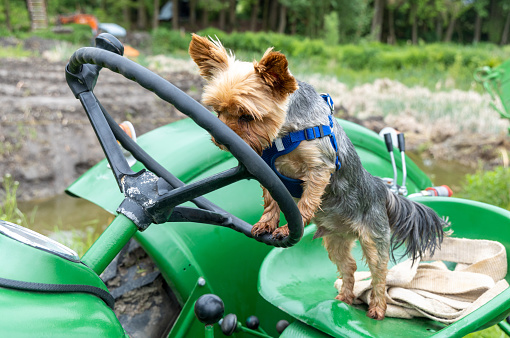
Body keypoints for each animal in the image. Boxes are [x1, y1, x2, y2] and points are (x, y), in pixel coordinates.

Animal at [189, 34, 448, 320]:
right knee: (348, 266)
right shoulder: (266, 169)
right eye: (217, 111)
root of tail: (381, 188)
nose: (220, 139)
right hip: (336, 239)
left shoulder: (319, 168)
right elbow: (271, 200)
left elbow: (308, 199)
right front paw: (266, 223)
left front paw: (289, 226)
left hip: (374, 237)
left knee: (379, 272)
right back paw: (345, 298)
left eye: (247, 116)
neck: (283, 134)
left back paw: (378, 308)